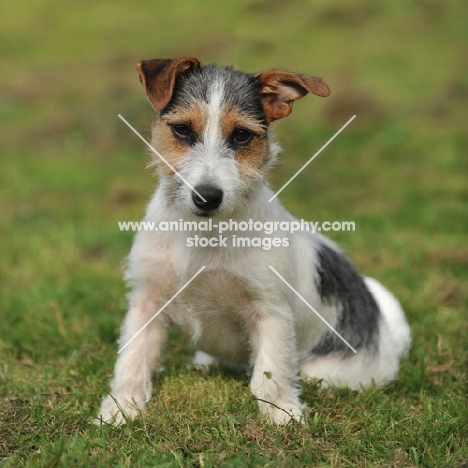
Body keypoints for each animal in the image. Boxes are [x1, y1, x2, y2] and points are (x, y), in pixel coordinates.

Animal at [98, 56, 410, 426]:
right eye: (183, 130)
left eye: (242, 135)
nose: (207, 197)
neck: (205, 235)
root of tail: (387, 336)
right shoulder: (147, 301)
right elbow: (133, 359)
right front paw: (121, 408)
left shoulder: (270, 311)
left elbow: (271, 373)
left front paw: (282, 414)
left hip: (328, 373)